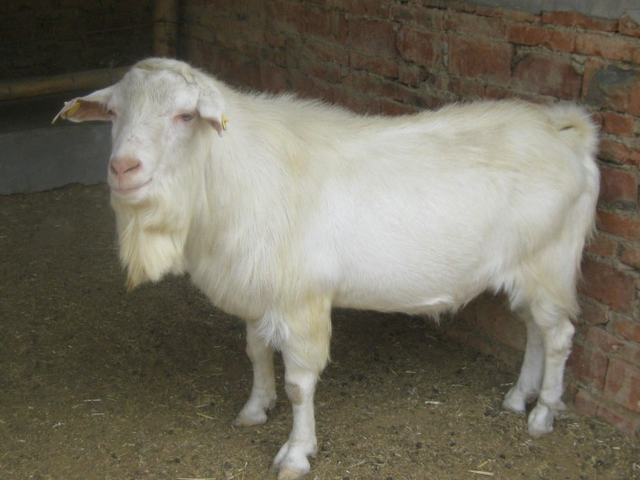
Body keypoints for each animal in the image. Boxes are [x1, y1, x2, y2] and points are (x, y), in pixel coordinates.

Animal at [55, 58, 599, 480]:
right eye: (114, 113)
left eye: (185, 114)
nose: (123, 168)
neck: (234, 175)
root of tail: (568, 133)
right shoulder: (259, 290)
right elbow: (255, 351)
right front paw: (255, 408)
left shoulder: (301, 302)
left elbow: (299, 384)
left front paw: (296, 453)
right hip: (527, 269)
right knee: (533, 329)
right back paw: (519, 397)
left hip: (550, 262)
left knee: (558, 336)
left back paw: (543, 414)